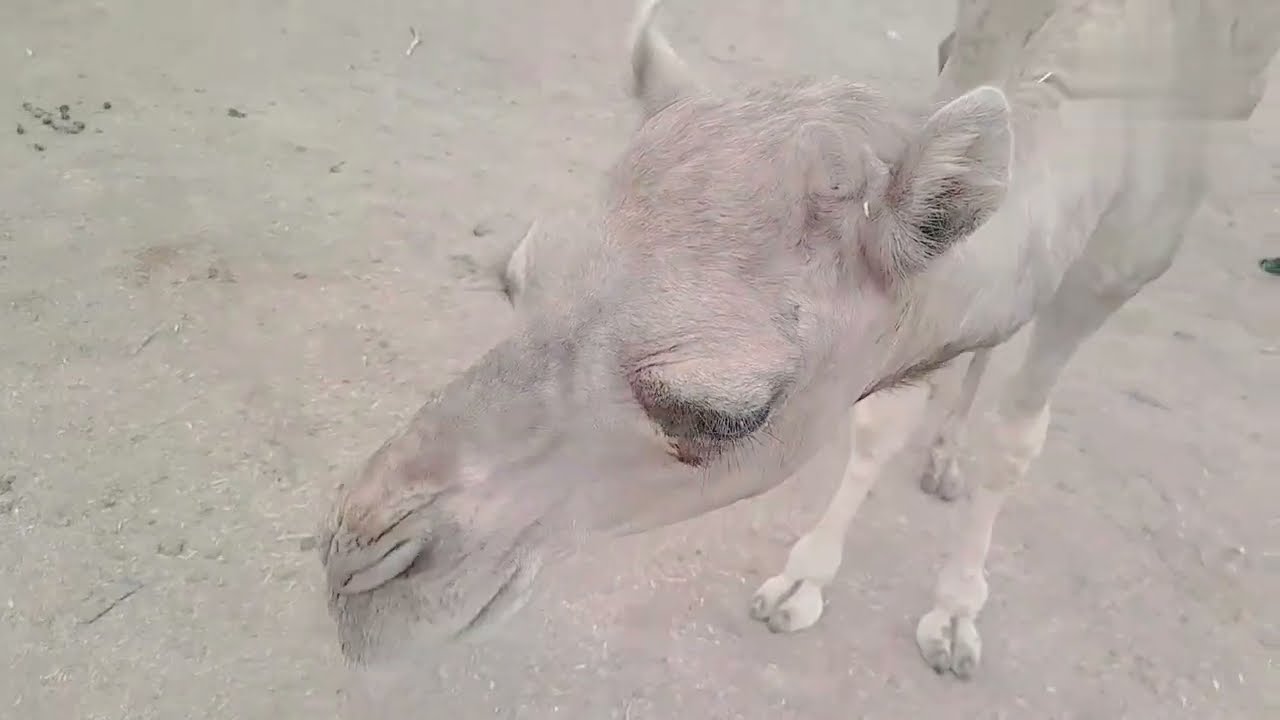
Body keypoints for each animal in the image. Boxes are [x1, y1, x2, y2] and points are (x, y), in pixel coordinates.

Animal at [319, 0, 1279, 679]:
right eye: (515, 279)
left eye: (719, 413)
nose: (355, 569)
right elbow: (886, 414)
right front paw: (803, 581)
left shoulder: (1126, 261)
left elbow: (1017, 440)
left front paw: (956, 615)